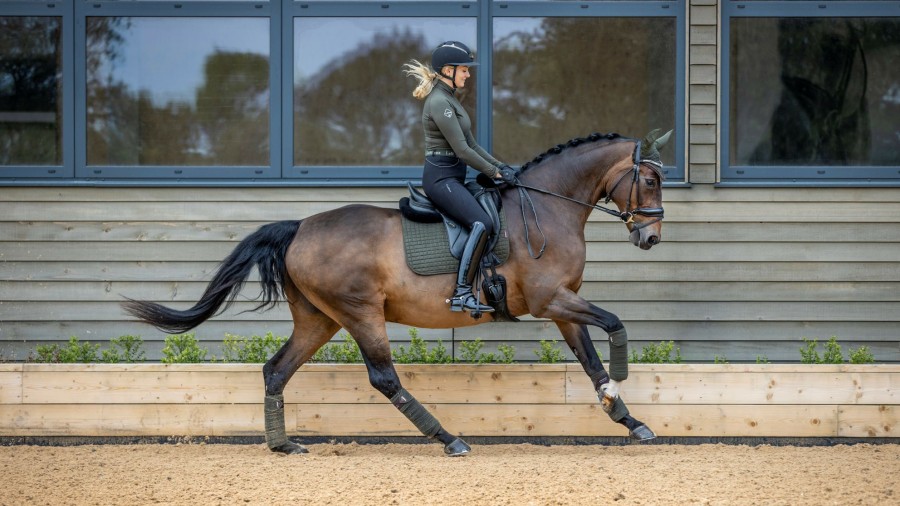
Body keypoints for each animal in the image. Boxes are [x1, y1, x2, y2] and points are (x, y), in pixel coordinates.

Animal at [121, 128, 668, 456]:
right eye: (649, 179)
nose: (651, 238)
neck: (549, 208)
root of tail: (299, 227)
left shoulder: (561, 305)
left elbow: (590, 360)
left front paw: (628, 418)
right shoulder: (548, 300)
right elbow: (614, 324)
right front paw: (622, 382)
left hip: (319, 319)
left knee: (276, 369)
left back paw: (283, 446)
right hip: (360, 313)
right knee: (383, 377)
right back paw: (449, 439)